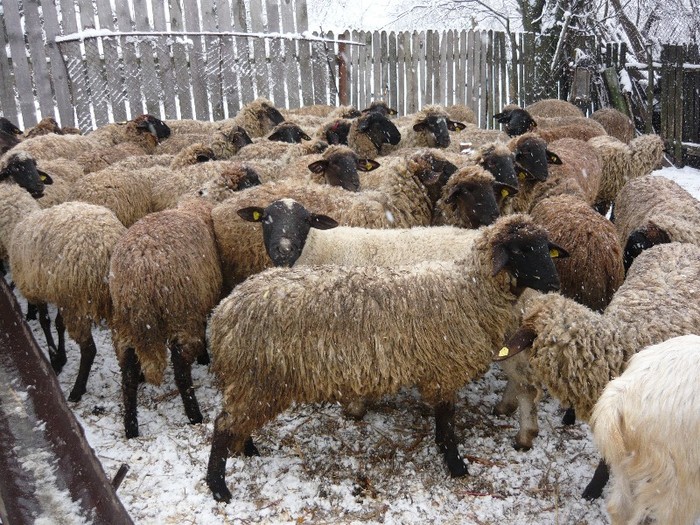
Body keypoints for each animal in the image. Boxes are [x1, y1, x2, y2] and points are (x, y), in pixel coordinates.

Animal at [8, 201, 127, 402]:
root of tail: (106, 247)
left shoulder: (37, 290)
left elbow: (45, 322)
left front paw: (54, 360)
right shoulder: (59, 295)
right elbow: (58, 324)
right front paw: (61, 357)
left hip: (78, 304)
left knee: (89, 349)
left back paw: (77, 390)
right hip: (112, 303)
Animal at [109, 194, 221, 436]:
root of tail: (141, 271)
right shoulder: (200, 306)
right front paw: (204, 357)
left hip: (124, 322)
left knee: (127, 373)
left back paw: (131, 428)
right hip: (181, 314)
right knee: (181, 371)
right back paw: (195, 416)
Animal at [205, 211, 568, 502]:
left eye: (545, 247)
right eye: (520, 249)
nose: (553, 282)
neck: (467, 289)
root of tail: (223, 311)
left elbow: (443, 421)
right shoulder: (443, 370)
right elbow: (447, 423)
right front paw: (456, 466)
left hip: (253, 382)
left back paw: (248, 450)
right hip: (257, 378)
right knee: (223, 425)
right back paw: (219, 488)